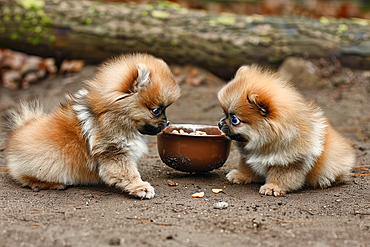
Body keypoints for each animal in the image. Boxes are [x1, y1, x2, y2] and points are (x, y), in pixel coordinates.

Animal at [4, 53, 181, 199]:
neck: (112, 116)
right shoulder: (114, 152)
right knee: (26, 177)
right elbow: (128, 172)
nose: (167, 122)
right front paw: (140, 187)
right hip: (46, 163)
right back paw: (51, 184)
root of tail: (17, 133)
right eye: (156, 110)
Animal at [218, 65, 354, 197]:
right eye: (224, 113)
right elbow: (247, 167)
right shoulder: (248, 157)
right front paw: (239, 175)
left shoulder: (288, 163)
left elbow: (280, 177)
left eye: (234, 120)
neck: (265, 143)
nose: (219, 123)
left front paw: (272, 187)